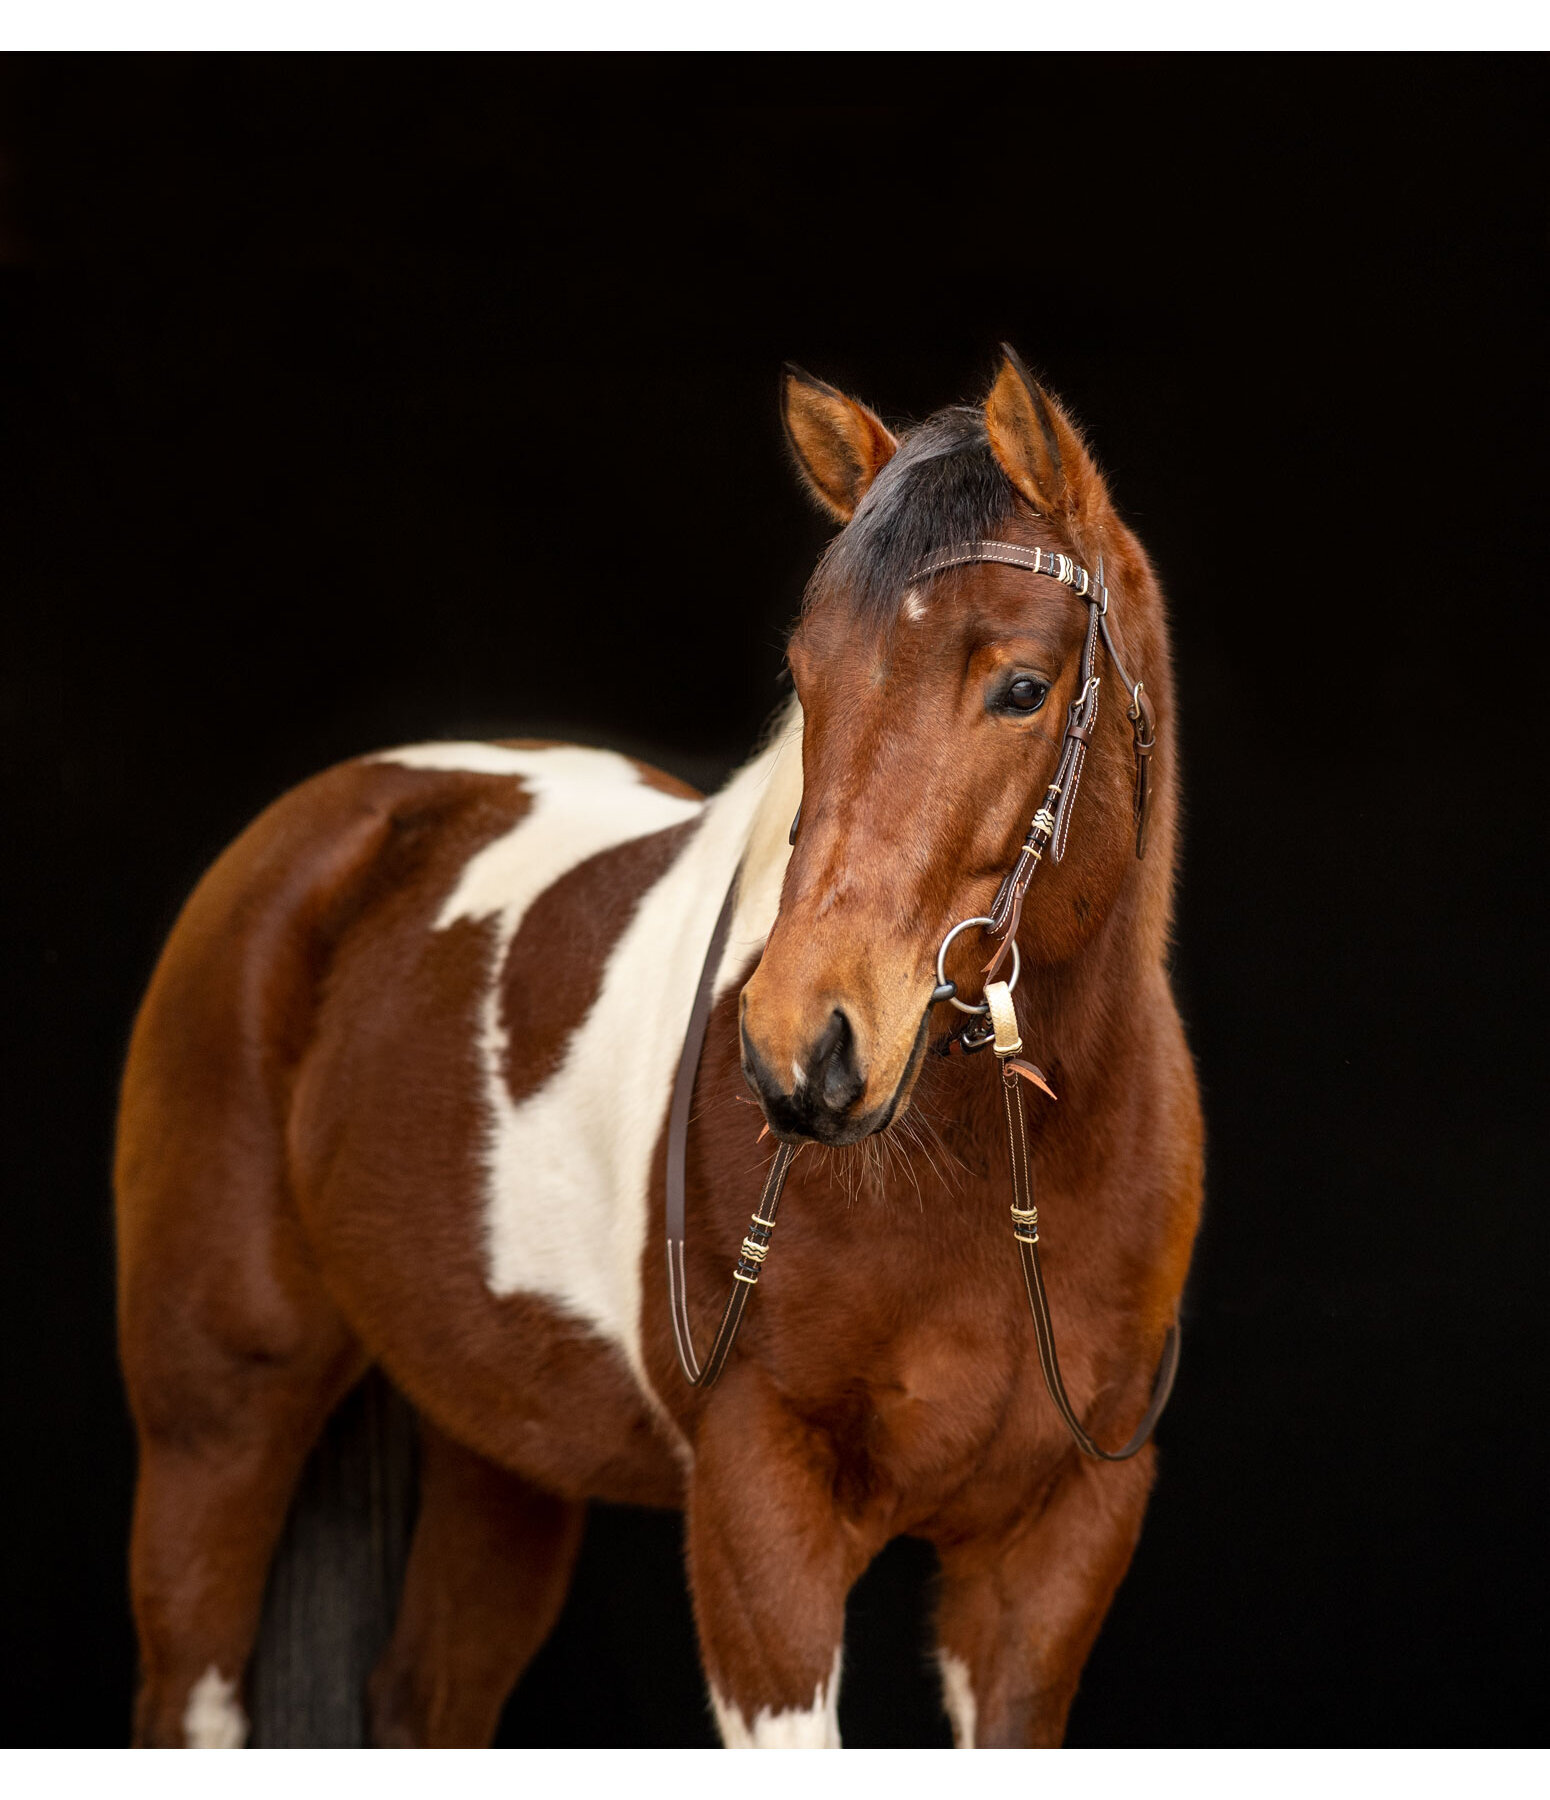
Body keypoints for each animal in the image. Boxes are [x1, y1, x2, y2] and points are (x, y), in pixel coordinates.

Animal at [117, 347, 1209, 1742]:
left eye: (1021, 687)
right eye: (805, 677)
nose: (805, 1047)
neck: (987, 1181)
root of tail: (330, 819)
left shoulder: (1053, 1556)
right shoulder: (759, 1522)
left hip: (498, 1453)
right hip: (215, 1426)